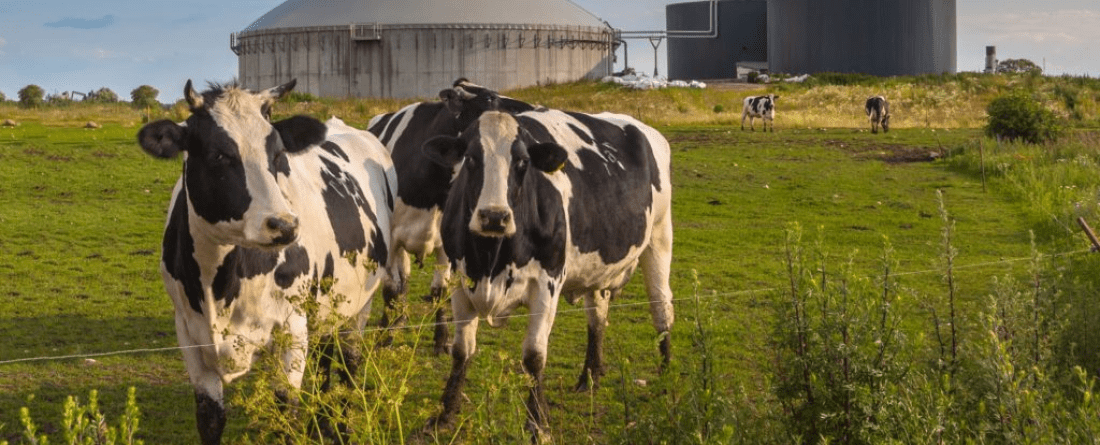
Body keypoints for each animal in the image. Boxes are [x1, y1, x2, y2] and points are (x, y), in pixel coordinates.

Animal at [135, 79, 396, 443]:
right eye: (220, 155)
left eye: (278, 154)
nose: (284, 225)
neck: (220, 285)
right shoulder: (189, 335)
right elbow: (210, 419)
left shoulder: (292, 330)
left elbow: (285, 415)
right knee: (326, 354)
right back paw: (324, 424)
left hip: (360, 303)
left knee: (349, 364)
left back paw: (342, 426)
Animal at [367, 78, 534, 351]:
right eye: (490, 99)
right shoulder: (391, 238)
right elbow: (392, 288)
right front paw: (386, 336)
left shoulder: (446, 243)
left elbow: (440, 291)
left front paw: (441, 338)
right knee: (401, 282)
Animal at [422, 109, 673, 435]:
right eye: (472, 159)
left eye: (522, 162)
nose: (494, 217)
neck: (492, 259)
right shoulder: (460, 281)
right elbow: (461, 351)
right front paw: (444, 414)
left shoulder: (547, 283)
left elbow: (533, 356)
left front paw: (537, 421)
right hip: (598, 270)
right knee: (597, 317)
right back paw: (590, 376)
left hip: (659, 237)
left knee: (661, 308)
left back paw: (666, 374)